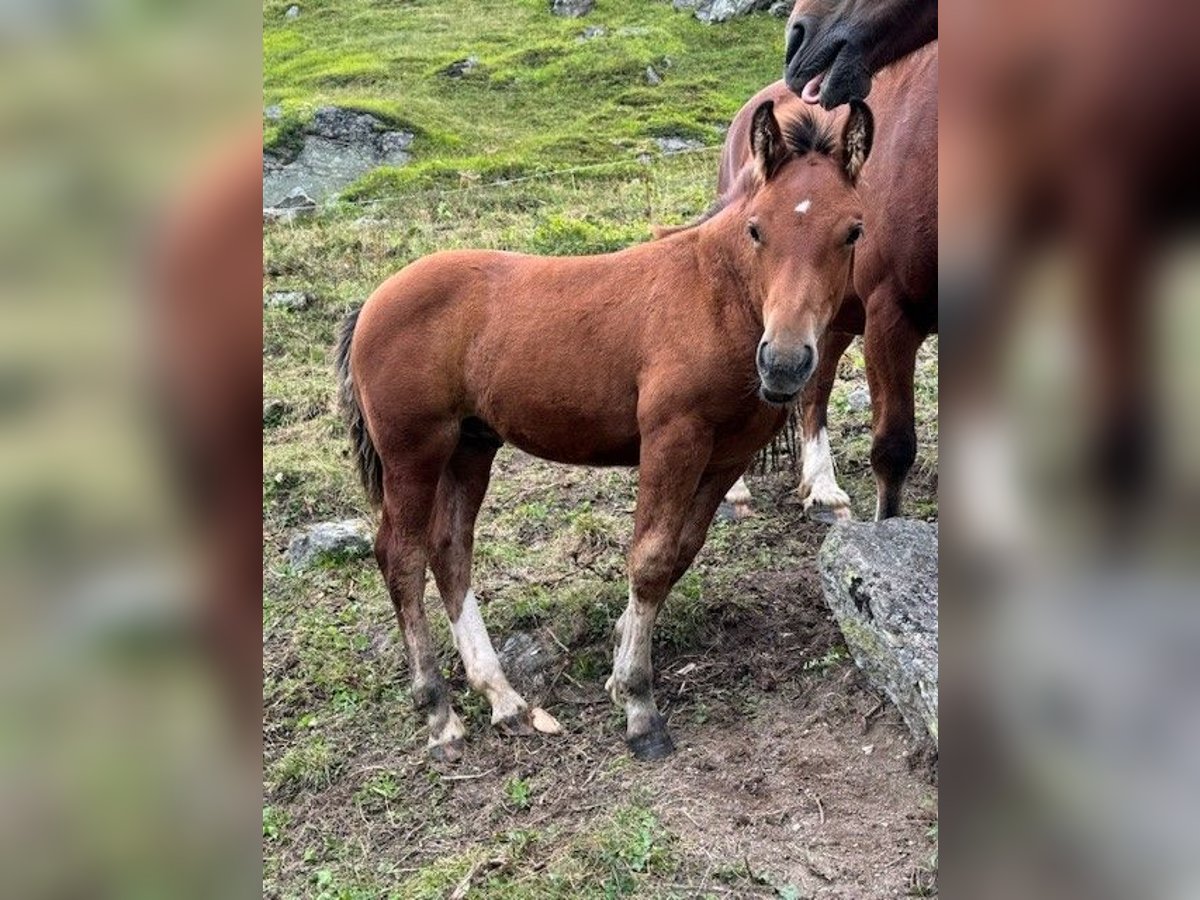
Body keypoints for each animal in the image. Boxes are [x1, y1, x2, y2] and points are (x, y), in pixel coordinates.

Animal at [336, 100, 873, 763]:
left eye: (852, 231)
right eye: (756, 229)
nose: (784, 363)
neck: (716, 296)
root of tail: (371, 302)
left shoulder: (727, 456)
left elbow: (680, 553)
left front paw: (620, 666)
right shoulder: (672, 439)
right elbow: (649, 558)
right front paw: (640, 706)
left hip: (469, 448)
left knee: (449, 550)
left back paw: (504, 699)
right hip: (414, 452)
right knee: (402, 558)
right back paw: (440, 715)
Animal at [710, 42, 936, 520]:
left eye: (854, 231)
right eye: (755, 229)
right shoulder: (889, 316)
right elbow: (893, 450)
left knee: (817, 385)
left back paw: (823, 487)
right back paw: (735, 490)